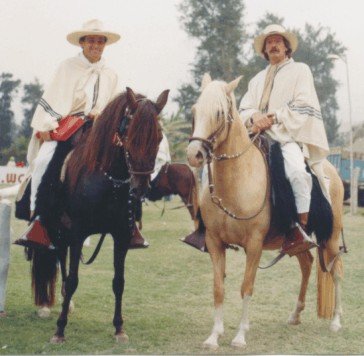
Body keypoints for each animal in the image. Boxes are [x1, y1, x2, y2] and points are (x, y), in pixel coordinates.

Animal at [30, 87, 168, 344]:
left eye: (159, 136)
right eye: (131, 135)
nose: (141, 188)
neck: (107, 179)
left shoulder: (121, 235)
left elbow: (119, 282)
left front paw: (119, 328)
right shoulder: (77, 233)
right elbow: (73, 279)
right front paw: (60, 329)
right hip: (57, 232)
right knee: (61, 266)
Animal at [186, 73, 346, 350]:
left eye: (219, 113)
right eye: (195, 111)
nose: (193, 154)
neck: (237, 181)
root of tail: (328, 169)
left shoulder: (254, 245)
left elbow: (246, 287)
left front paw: (240, 336)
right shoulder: (214, 243)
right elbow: (218, 288)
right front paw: (214, 336)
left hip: (331, 238)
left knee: (335, 270)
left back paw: (336, 321)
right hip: (298, 243)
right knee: (307, 265)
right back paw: (295, 314)